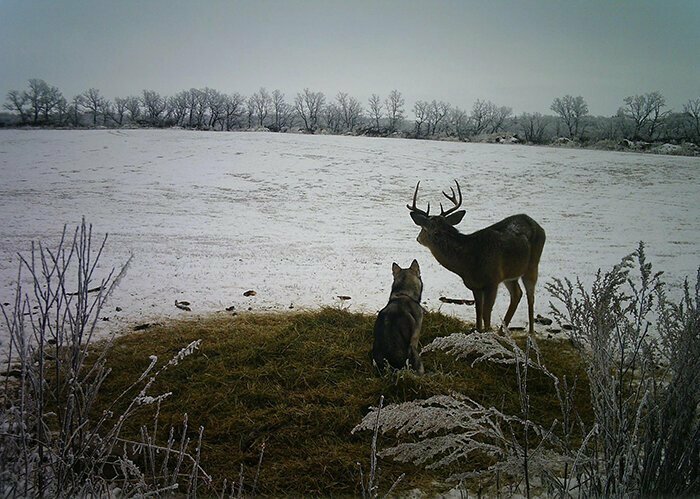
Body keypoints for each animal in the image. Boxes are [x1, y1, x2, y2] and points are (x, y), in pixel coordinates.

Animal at [404, 181, 548, 336]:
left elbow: (486, 313)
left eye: (423, 229)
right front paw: (480, 332)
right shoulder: (475, 285)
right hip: (511, 274)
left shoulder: (492, 281)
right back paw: (501, 332)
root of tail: (537, 225)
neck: (469, 261)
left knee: (530, 296)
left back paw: (531, 333)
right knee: (517, 294)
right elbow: (478, 312)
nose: (418, 238)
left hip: (533, 264)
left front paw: (488, 333)